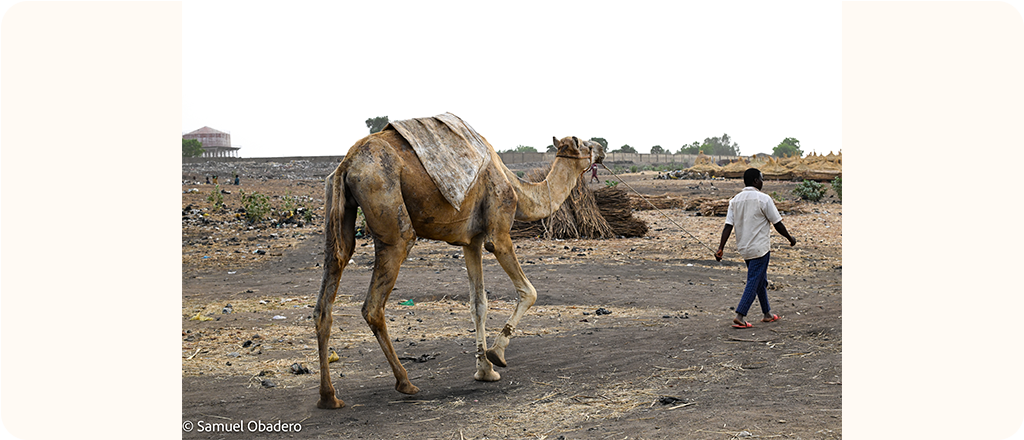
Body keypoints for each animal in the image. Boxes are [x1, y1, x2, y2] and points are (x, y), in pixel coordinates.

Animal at [313, 121, 605, 409]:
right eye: (585, 144)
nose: (602, 149)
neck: (517, 189)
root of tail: (347, 164)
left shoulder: (472, 241)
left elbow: (478, 304)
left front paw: (484, 371)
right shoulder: (498, 233)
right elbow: (528, 292)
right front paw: (496, 354)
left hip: (337, 213)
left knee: (328, 288)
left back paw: (329, 397)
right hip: (386, 206)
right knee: (374, 303)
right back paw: (405, 383)